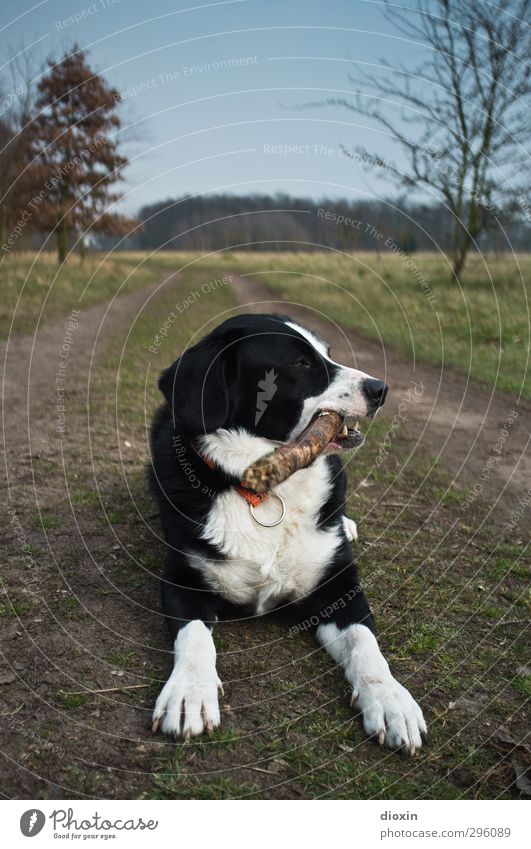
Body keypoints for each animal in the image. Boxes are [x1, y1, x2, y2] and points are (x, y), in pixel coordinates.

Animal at [149, 314, 428, 752]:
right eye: (300, 363)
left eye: (328, 353)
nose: (380, 389)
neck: (268, 486)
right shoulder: (183, 577)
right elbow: (193, 638)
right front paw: (188, 694)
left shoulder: (337, 586)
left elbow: (366, 645)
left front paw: (391, 700)